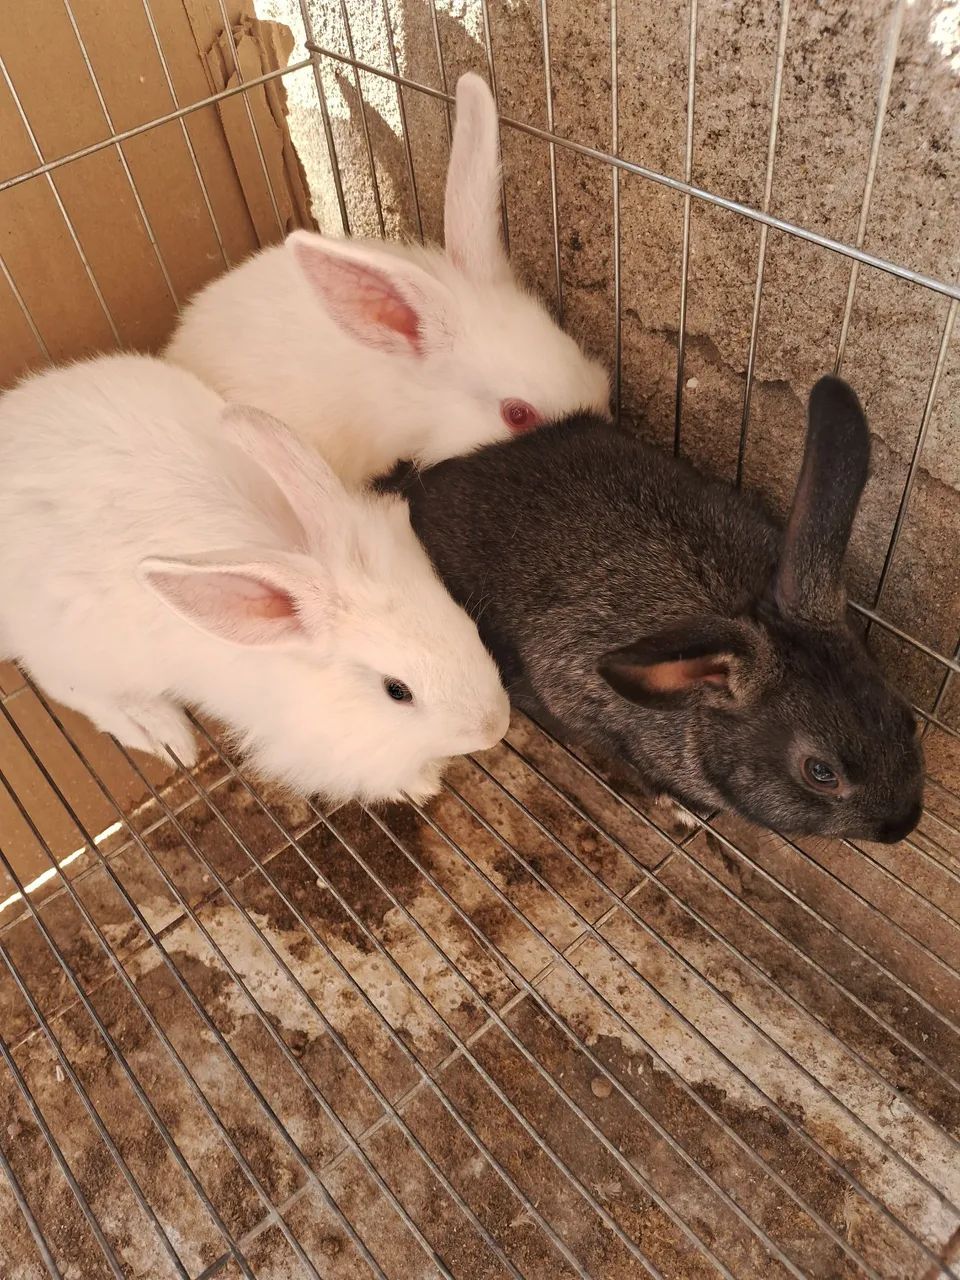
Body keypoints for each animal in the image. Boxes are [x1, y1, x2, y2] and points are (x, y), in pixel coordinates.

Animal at [0, 354, 510, 806]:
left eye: (466, 622)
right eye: (396, 691)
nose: (495, 727)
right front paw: (419, 785)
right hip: (83, 652)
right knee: (73, 690)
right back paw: (164, 733)